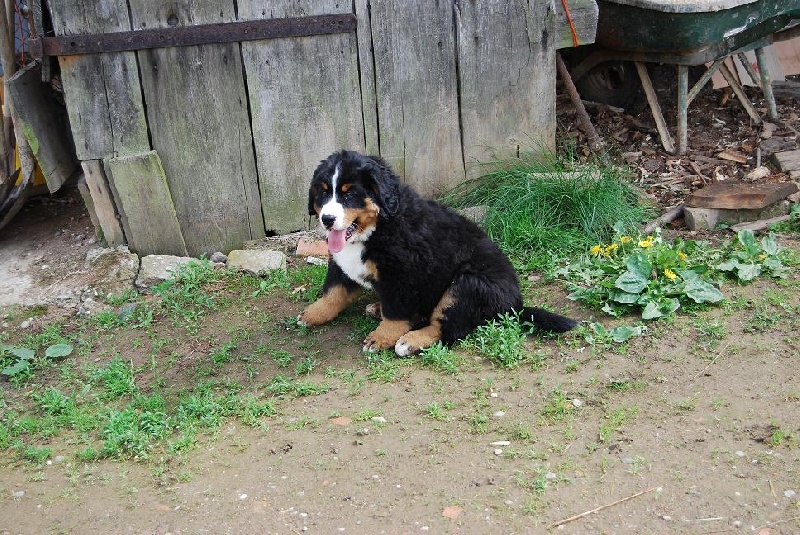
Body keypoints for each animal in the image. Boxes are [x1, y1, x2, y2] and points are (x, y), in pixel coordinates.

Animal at [296, 150, 580, 356]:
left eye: (350, 193)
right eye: (323, 191)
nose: (327, 219)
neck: (379, 226)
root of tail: (515, 306)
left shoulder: (402, 274)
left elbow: (395, 312)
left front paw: (381, 337)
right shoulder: (342, 263)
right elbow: (334, 291)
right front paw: (313, 314)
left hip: (466, 283)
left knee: (448, 327)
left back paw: (410, 340)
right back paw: (377, 308)